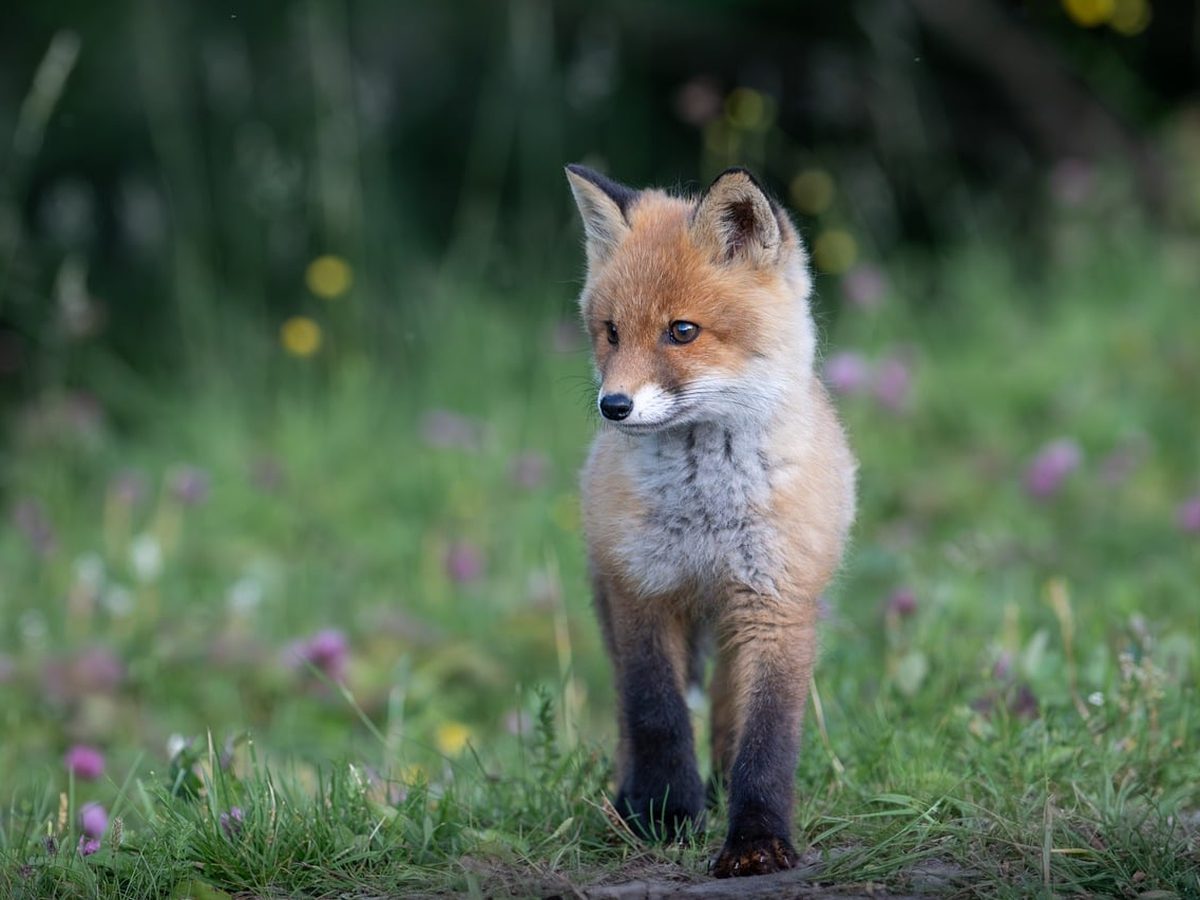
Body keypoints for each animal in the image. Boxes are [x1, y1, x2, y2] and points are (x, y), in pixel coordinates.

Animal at [564, 163, 857, 877]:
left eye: (682, 331)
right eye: (611, 331)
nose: (613, 405)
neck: (706, 514)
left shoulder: (776, 605)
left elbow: (766, 740)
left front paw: (756, 841)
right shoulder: (643, 594)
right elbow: (657, 716)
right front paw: (665, 816)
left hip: (733, 625)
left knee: (727, 712)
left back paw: (721, 787)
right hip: (611, 602)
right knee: (629, 716)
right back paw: (628, 799)